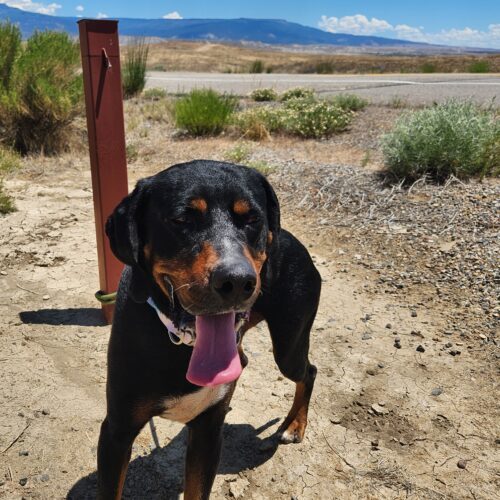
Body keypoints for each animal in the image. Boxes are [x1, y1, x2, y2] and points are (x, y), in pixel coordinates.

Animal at [98, 161, 320, 500]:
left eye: (253, 219)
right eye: (181, 219)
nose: (237, 281)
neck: (179, 342)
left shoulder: (208, 433)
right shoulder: (116, 432)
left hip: (289, 346)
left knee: (308, 371)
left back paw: (295, 425)